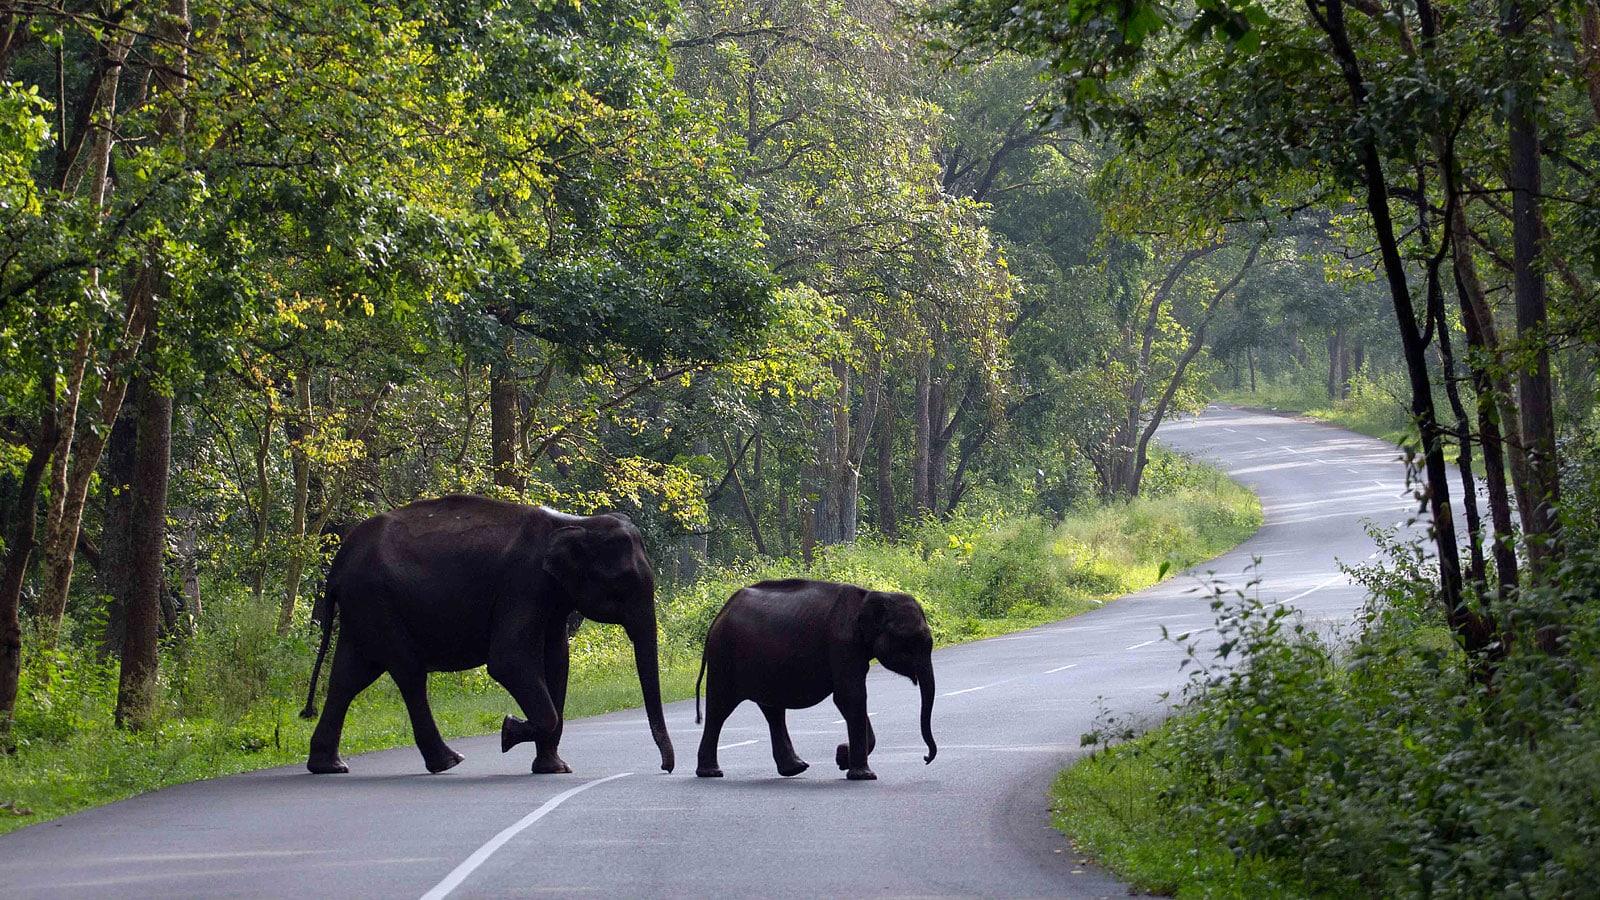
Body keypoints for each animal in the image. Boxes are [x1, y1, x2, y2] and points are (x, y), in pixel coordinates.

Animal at [300, 493, 675, 775]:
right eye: (622, 584)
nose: (665, 768)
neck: (575, 523)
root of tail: (338, 563)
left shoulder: (551, 595)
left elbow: (557, 662)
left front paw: (554, 768)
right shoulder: (522, 584)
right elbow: (509, 661)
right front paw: (508, 731)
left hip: (364, 607)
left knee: (350, 675)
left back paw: (329, 766)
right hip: (376, 600)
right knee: (407, 671)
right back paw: (448, 762)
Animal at [697, 576, 934, 775]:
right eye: (911, 642)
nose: (925, 758)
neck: (871, 596)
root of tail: (720, 615)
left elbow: (852, 697)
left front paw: (842, 757)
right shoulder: (842, 643)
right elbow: (850, 697)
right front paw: (862, 774)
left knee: (773, 711)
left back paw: (795, 768)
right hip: (724, 657)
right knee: (719, 708)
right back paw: (711, 772)